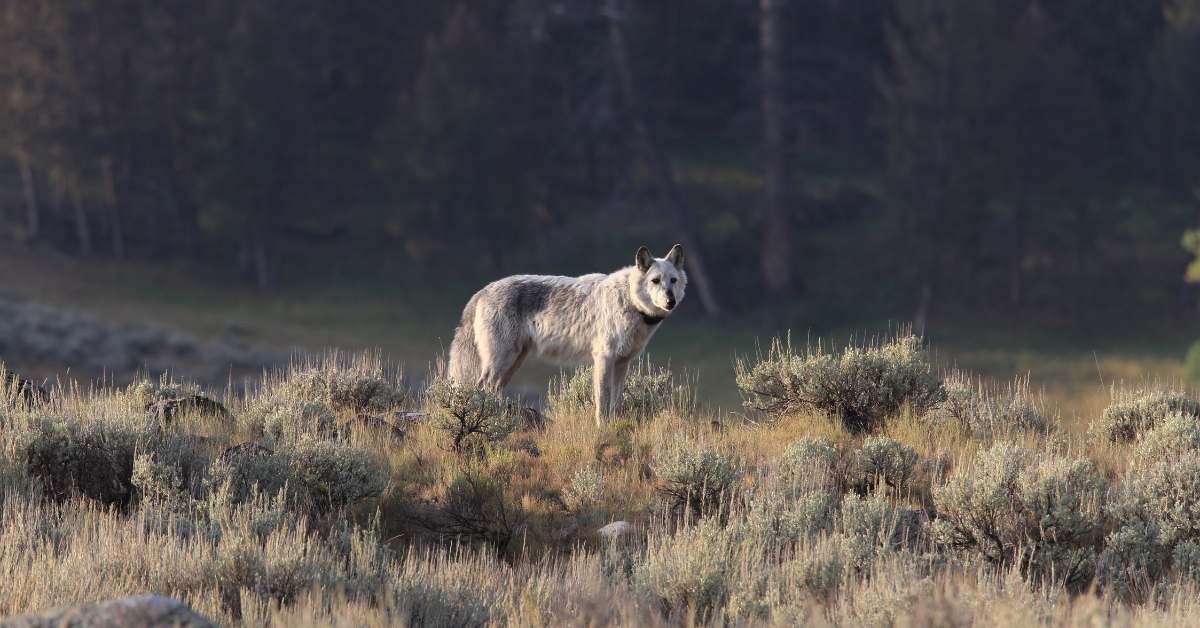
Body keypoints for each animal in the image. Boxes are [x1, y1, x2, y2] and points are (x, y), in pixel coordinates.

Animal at [448, 245, 686, 426]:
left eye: (673, 280)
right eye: (655, 281)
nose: (670, 301)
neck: (628, 299)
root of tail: (482, 290)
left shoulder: (622, 363)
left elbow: (616, 405)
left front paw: (616, 428)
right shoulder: (604, 358)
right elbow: (603, 402)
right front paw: (603, 430)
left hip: (513, 362)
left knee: (493, 389)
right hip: (503, 359)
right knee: (481, 387)